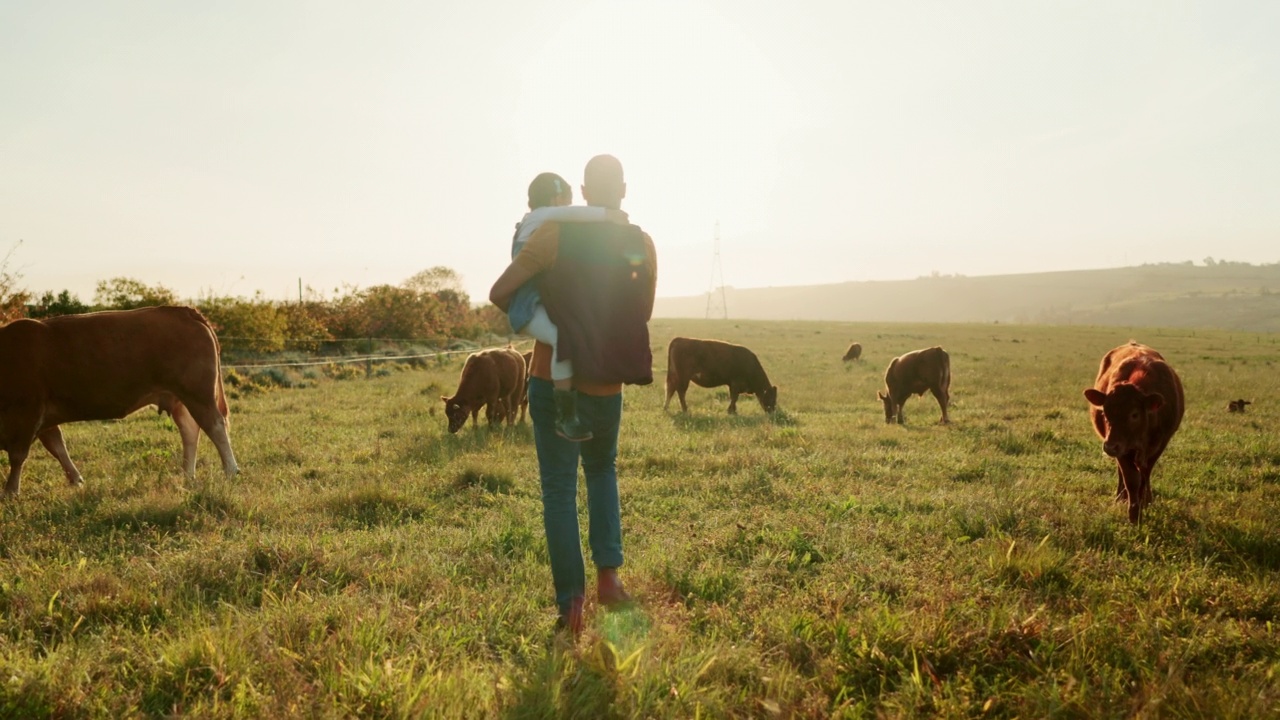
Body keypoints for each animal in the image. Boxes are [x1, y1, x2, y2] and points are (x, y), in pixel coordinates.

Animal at [0, 302, 239, 491]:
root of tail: (183, 310)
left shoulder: (27, 411)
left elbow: (19, 455)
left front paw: (10, 491)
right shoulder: (42, 417)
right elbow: (57, 446)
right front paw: (76, 480)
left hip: (197, 394)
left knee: (215, 426)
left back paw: (230, 471)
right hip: (180, 398)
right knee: (190, 430)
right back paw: (187, 476)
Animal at [1085, 338, 1182, 525]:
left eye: (1134, 414)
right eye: (1105, 413)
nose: (1109, 447)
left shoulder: (1159, 444)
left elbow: (1144, 475)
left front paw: (1144, 503)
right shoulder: (1122, 448)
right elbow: (1131, 479)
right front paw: (1133, 513)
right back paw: (1120, 497)